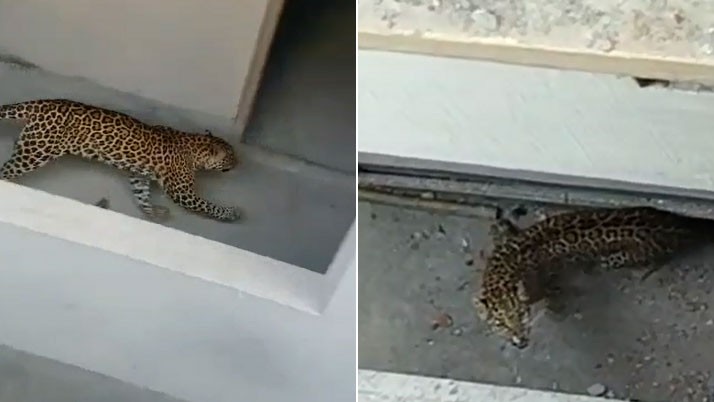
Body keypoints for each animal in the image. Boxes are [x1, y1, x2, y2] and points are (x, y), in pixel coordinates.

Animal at [0, 99, 239, 222]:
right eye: (231, 156)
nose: (238, 164)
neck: (196, 147)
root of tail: (41, 103)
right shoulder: (181, 192)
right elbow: (206, 205)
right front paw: (231, 213)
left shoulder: (138, 176)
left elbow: (142, 198)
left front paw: (155, 213)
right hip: (37, 152)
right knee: (6, 169)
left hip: (30, 144)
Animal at [473, 206, 714, 349]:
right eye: (500, 323)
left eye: (521, 315)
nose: (521, 342)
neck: (502, 269)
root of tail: (681, 226)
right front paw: (497, 228)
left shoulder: (544, 278)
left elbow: (551, 291)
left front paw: (554, 308)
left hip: (632, 254)